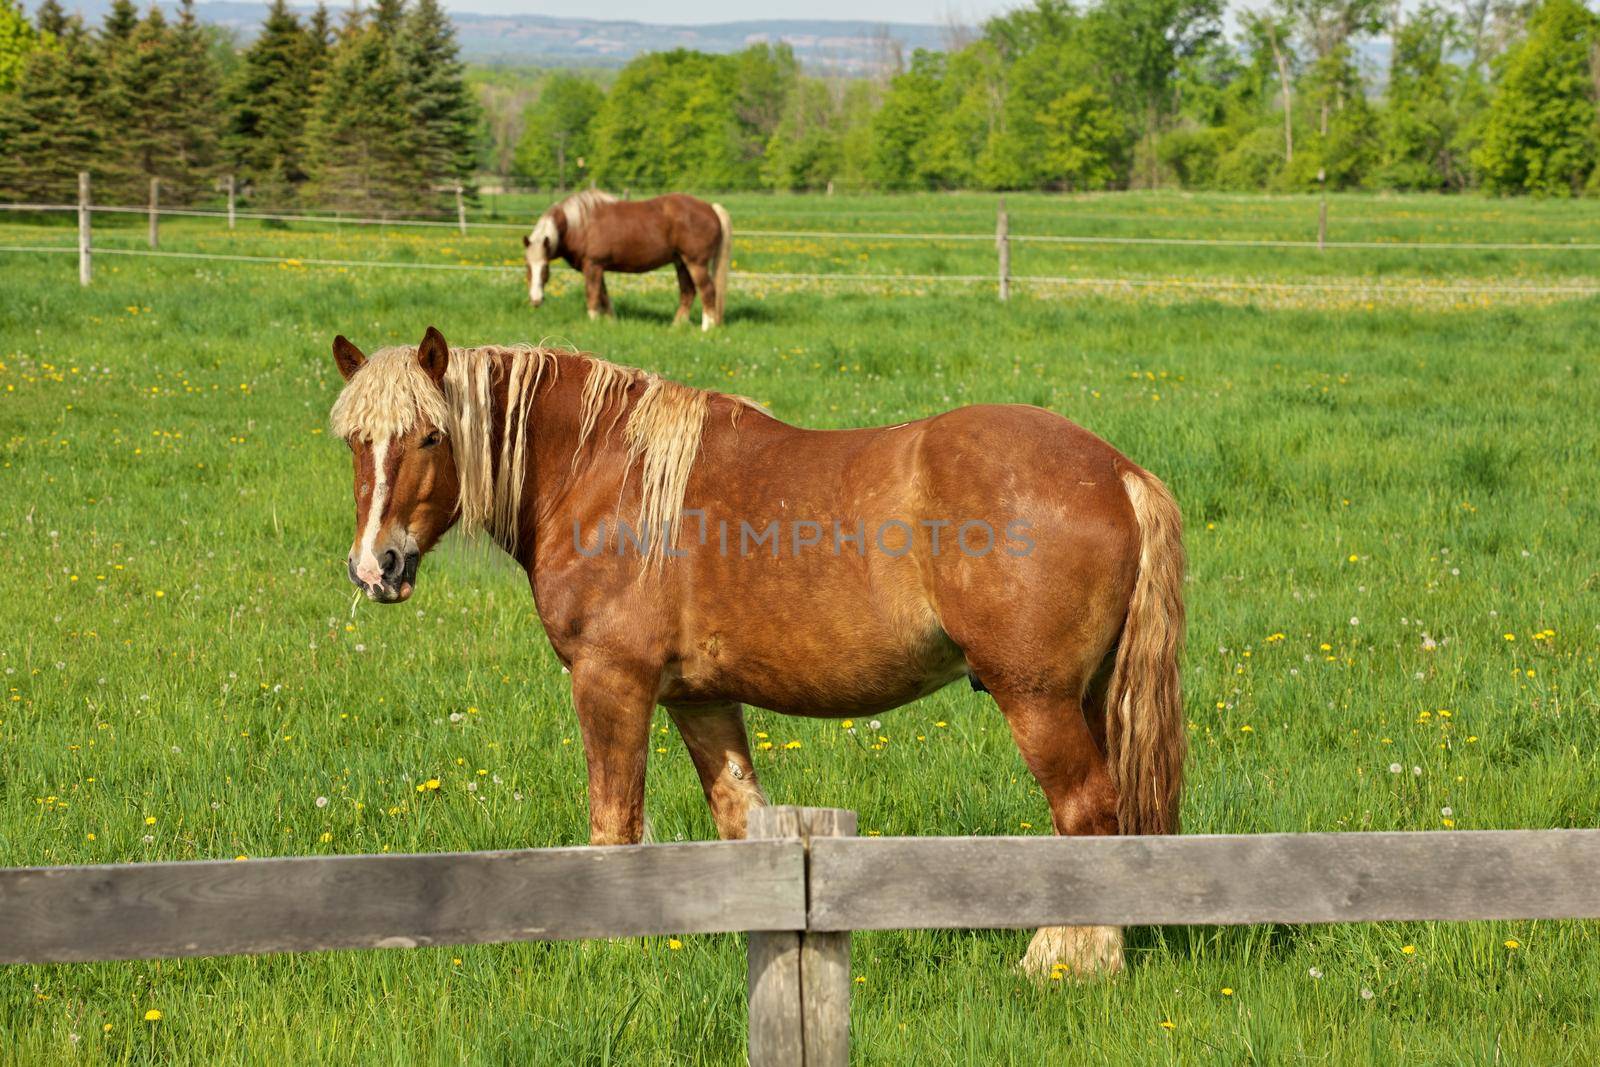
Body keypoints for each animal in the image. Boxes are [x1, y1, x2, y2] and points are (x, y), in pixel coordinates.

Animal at [328, 327, 1190, 985]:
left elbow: (613, 823)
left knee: (1084, 810)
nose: (378, 566)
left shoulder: (612, 682)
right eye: (356, 443)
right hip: (1088, 697)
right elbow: (740, 817)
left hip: (1036, 698)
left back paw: (1066, 958)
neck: (606, 475)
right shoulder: (699, 697)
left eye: (430, 435)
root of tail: (1117, 471)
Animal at [524, 189, 732, 327]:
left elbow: (592, 294)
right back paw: (676, 327)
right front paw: (610, 321)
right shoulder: (598, 268)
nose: (535, 300)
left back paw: (706, 328)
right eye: (528, 268)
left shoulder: (592, 266)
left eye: (545, 268)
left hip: (696, 263)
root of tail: (711, 208)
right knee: (688, 293)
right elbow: (604, 296)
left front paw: (593, 321)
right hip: (681, 263)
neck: (579, 223)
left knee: (707, 291)